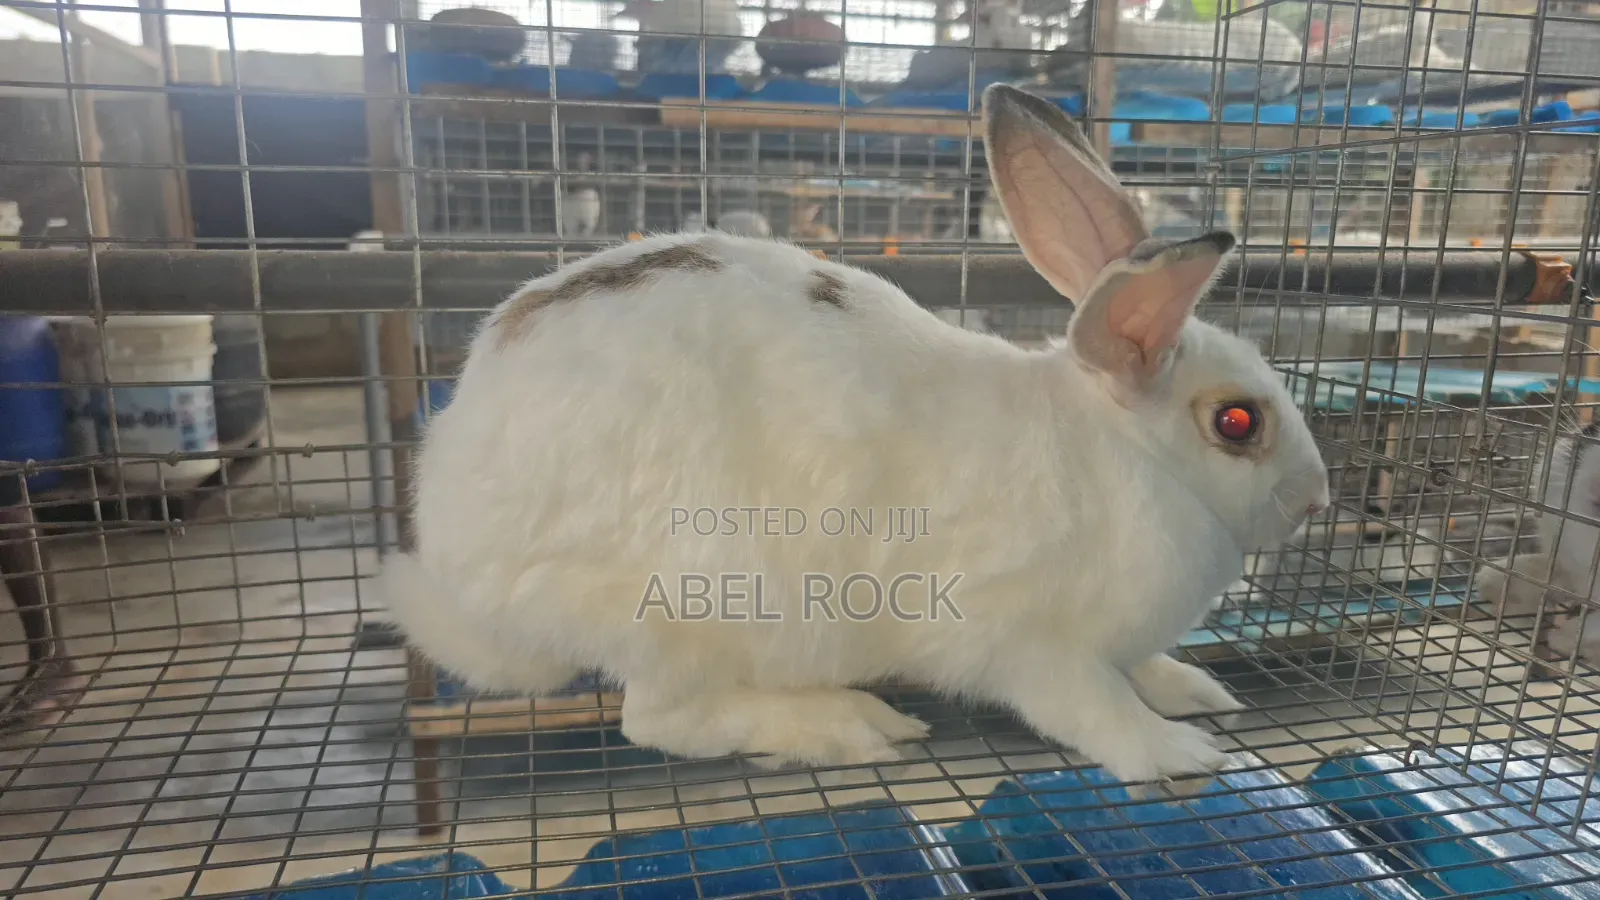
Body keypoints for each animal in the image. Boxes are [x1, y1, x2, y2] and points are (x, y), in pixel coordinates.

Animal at [376, 84, 1331, 788]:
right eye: (1238, 422)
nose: (1317, 498)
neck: (1126, 456)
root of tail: (459, 558)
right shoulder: (1026, 642)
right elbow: (1094, 708)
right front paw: (1178, 752)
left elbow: (1147, 670)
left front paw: (1195, 690)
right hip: (694, 610)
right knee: (658, 719)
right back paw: (847, 725)